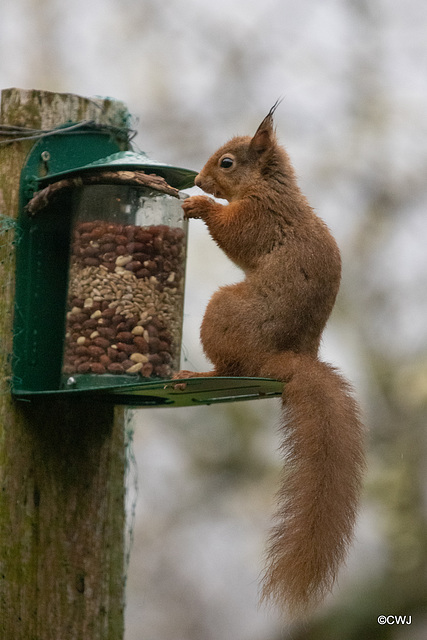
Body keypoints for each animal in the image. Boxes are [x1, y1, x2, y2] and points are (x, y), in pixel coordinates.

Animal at [176, 104, 366, 616]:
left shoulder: (261, 216)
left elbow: (235, 233)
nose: (198, 180)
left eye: (226, 163)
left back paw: (195, 372)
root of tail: (284, 361)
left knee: (230, 369)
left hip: (223, 314)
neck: (269, 186)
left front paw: (199, 207)